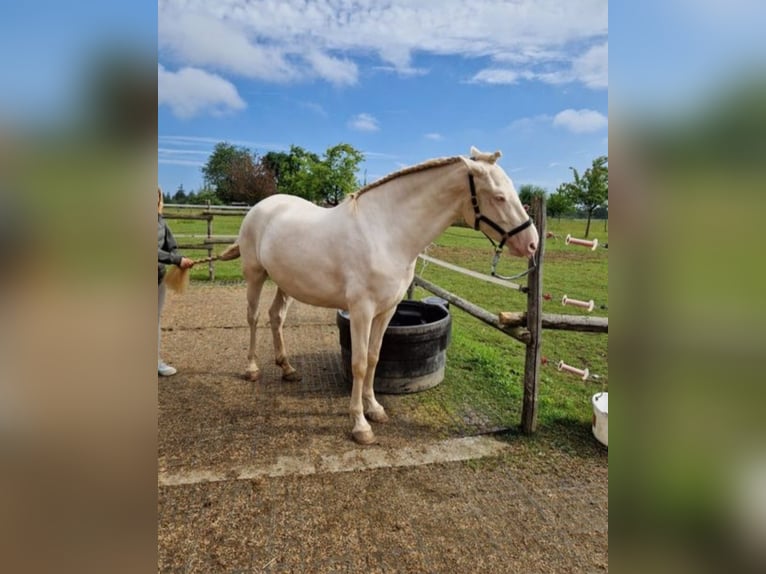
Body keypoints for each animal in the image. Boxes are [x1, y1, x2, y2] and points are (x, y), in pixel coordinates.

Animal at [219, 147, 536, 446]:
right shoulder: (361, 311)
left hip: (286, 282)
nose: (532, 243)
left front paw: (374, 408)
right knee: (253, 317)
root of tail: (261, 207)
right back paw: (252, 369)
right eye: (499, 197)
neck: (386, 233)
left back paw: (287, 368)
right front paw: (360, 425)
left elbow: (374, 357)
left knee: (276, 317)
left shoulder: (387, 310)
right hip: (255, 275)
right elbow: (359, 364)